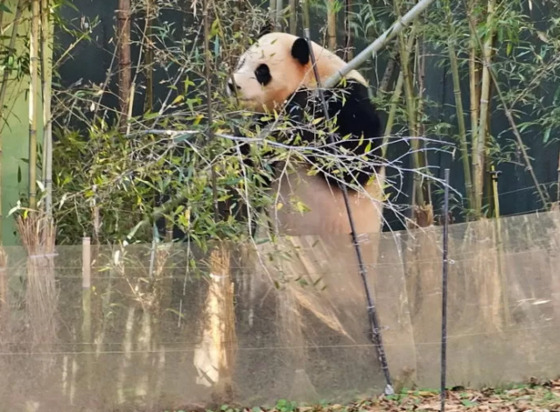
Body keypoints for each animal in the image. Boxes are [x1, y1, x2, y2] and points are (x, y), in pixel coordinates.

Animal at [228, 32, 384, 237]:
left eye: (262, 71)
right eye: (241, 63)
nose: (233, 85)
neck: (314, 75)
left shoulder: (347, 94)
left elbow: (355, 164)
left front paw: (297, 103)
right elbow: (253, 174)